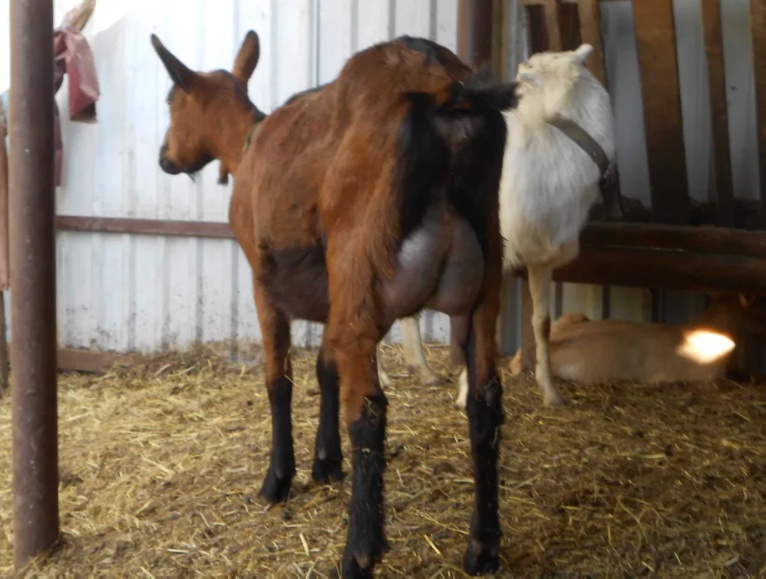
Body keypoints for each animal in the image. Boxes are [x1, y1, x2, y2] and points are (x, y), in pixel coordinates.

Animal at [153, 31, 520, 576]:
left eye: (171, 101)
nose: (164, 157)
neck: (248, 145)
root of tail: (443, 94)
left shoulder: (264, 285)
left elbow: (279, 380)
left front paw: (278, 479)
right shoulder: (332, 292)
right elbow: (326, 369)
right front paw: (326, 463)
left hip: (361, 268)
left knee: (368, 411)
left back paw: (359, 552)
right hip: (479, 283)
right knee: (485, 402)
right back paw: (483, 546)